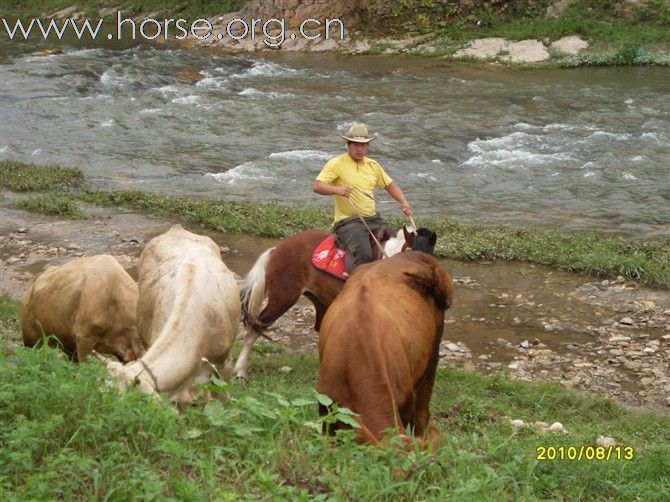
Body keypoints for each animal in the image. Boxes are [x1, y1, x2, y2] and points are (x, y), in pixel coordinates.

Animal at [236, 225, 440, 376]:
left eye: (430, 259)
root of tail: (276, 250)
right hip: (282, 299)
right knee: (254, 329)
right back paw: (240, 371)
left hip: (318, 300)